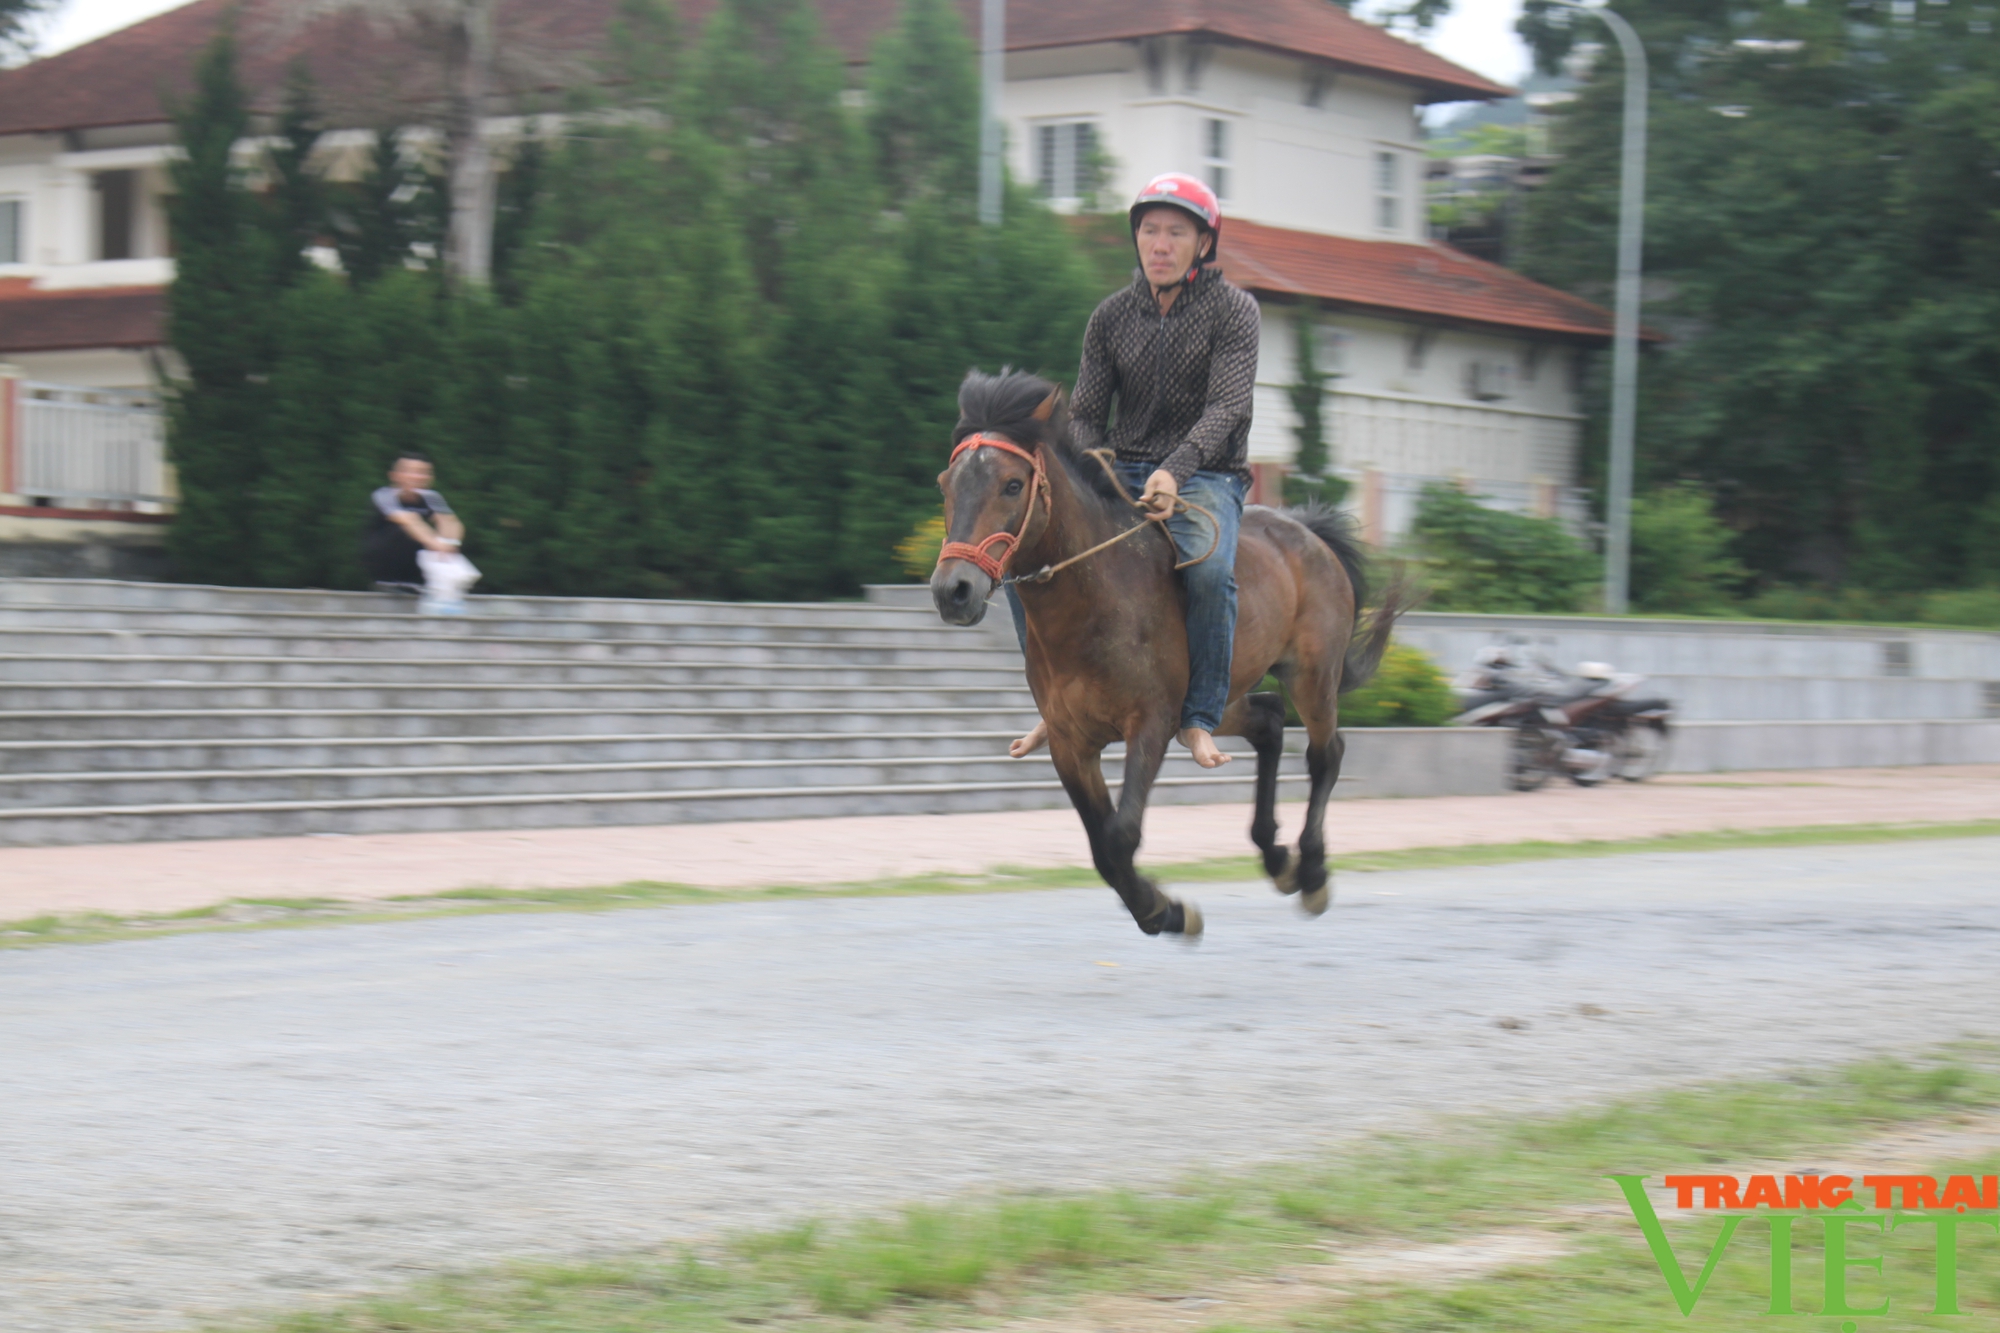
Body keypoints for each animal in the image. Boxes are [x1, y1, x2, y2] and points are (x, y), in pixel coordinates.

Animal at [928, 370, 1400, 932]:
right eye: (946, 484)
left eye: (1013, 484)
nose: (953, 590)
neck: (1097, 598)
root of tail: (1308, 532)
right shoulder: (1070, 742)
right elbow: (1101, 846)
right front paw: (1160, 908)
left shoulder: (1149, 723)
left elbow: (1119, 836)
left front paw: (1165, 911)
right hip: (1216, 701)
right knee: (1268, 721)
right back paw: (1275, 856)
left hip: (1311, 676)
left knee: (1325, 753)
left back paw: (1310, 872)